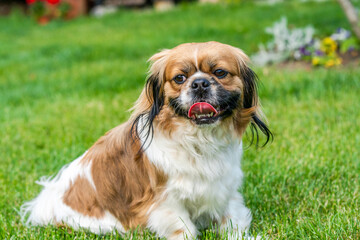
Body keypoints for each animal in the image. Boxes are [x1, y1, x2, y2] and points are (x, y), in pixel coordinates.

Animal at [21, 41, 270, 240]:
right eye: (179, 78)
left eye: (219, 72)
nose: (199, 83)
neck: (198, 141)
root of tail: (47, 201)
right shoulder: (165, 201)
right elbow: (183, 229)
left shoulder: (224, 189)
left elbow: (233, 220)